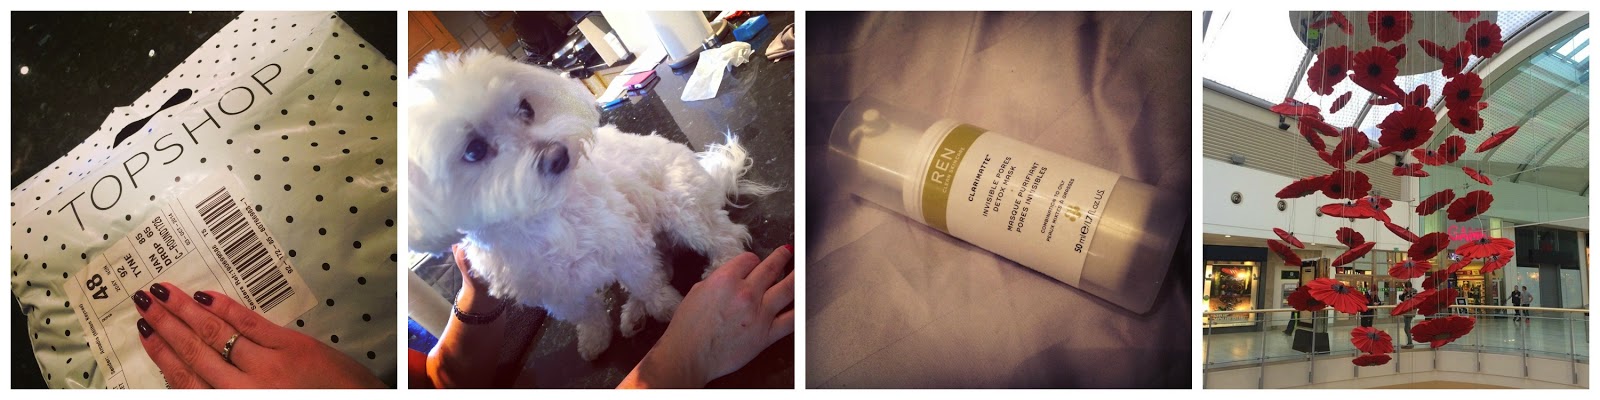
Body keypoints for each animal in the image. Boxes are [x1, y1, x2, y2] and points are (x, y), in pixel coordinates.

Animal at [407, 49, 775, 360]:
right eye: (474, 150)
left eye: (526, 108)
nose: (557, 155)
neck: (545, 216)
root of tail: (710, 176)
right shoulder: (558, 291)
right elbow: (588, 314)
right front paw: (596, 338)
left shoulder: (625, 244)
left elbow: (649, 283)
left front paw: (669, 308)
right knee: (667, 263)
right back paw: (633, 315)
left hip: (682, 206)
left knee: (727, 237)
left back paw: (717, 269)